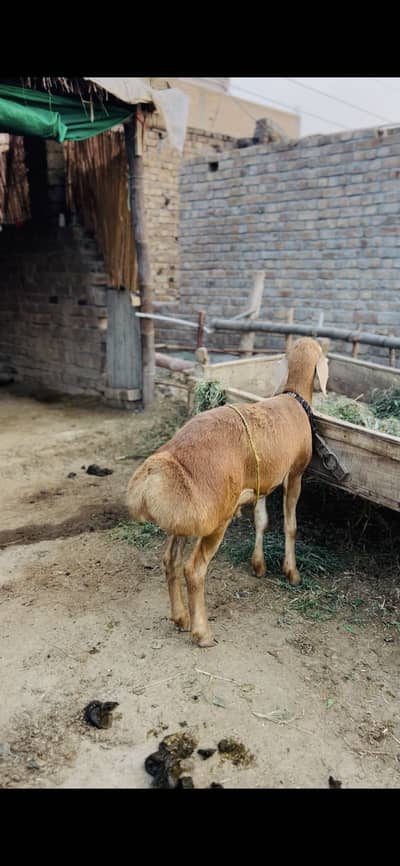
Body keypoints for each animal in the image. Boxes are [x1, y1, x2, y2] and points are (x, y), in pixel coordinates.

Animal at [127, 337, 329, 647]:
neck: (293, 399)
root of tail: (167, 462)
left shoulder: (262, 480)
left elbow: (262, 521)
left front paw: (258, 565)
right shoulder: (294, 474)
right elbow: (291, 526)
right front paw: (292, 572)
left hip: (185, 517)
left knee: (170, 561)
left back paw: (180, 618)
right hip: (215, 519)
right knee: (193, 570)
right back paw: (202, 633)